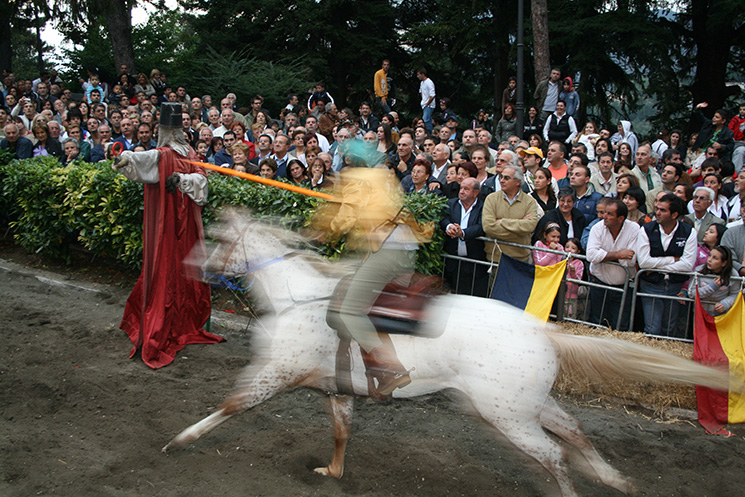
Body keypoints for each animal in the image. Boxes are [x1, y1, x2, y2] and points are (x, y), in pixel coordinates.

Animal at [164, 210, 740, 496]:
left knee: (554, 454)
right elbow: (341, 431)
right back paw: (613, 478)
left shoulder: (273, 373)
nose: (193, 266)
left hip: (506, 416)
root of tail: (542, 332)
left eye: (219, 238)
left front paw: (179, 440)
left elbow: (232, 406)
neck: (294, 296)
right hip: (528, 405)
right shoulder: (336, 389)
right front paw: (332, 472)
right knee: (574, 431)